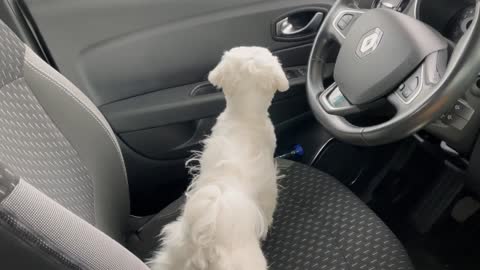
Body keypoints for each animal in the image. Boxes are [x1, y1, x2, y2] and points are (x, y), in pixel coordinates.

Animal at [148, 46, 288, 270]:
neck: (244, 117)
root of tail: (205, 241)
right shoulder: (268, 185)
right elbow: (268, 205)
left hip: (174, 252)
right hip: (248, 263)